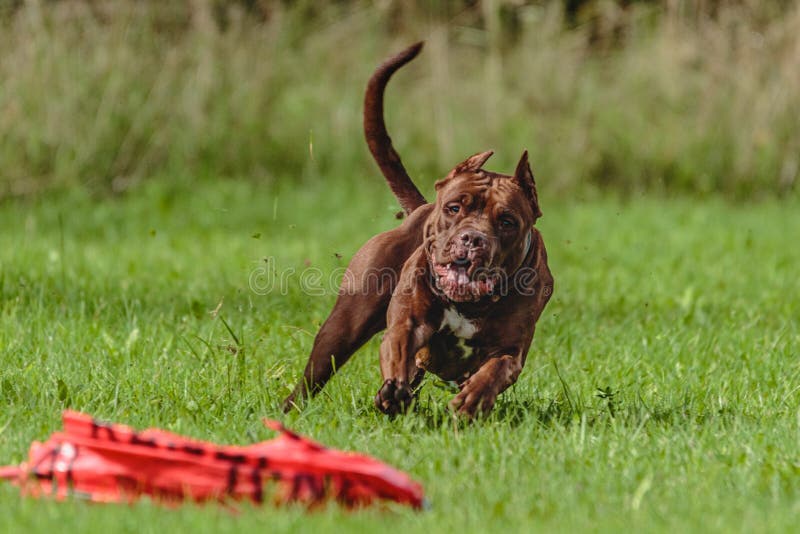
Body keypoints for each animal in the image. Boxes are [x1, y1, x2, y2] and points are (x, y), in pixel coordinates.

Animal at [284, 43, 552, 418]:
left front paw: (473, 398)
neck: (470, 304)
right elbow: (398, 347)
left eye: (507, 221)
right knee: (315, 375)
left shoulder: (512, 348)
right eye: (455, 207)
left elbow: (497, 369)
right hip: (343, 326)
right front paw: (393, 390)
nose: (472, 239)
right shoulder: (408, 324)